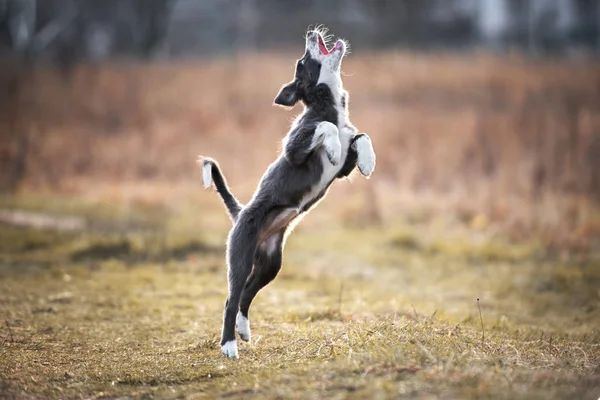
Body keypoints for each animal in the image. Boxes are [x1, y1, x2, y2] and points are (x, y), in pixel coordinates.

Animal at [200, 28, 376, 360]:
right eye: (302, 62)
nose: (310, 32)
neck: (328, 105)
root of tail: (240, 214)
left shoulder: (343, 169)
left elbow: (361, 136)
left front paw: (368, 161)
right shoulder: (295, 149)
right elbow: (324, 128)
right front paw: (334, 146)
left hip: (270, 263)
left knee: (246, 294)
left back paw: (243, 329)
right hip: (241, 257)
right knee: (232, 297)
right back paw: (229, 344)